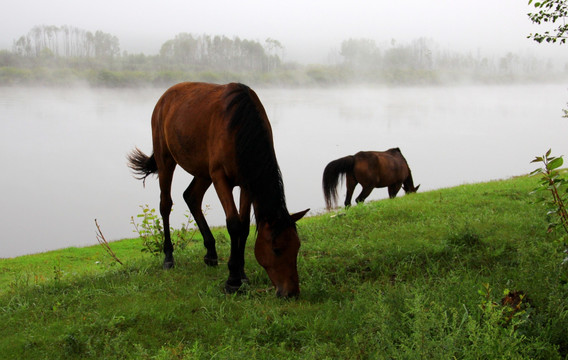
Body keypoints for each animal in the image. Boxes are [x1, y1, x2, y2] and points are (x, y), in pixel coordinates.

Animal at [127, 82, 308, 298]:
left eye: (297, 247)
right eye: (276, 249)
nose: (291, 292)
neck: (240, 128)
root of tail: (165, 96)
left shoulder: (247, 183)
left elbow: (244, 226)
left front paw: (242, 274)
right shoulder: (220, 177)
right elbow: (234, 224)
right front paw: (232, 280)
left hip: (203, 171)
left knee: (191, 197)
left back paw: (211, 253)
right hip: (166, 160)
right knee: (165, 204)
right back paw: (169, 257)